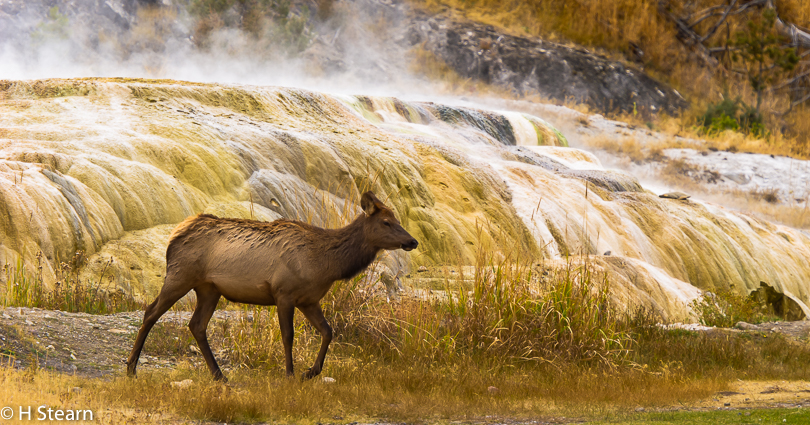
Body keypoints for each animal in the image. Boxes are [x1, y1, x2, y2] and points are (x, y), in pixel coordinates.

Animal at [128, 190, 416, 380]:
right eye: (386, 222)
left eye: (398, 220)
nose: (412, 241)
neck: (326, 264)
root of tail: (174, 235)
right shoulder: (283, 293)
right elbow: (288, 336)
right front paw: (290, 373)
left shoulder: (309, 299)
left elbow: (327, 331)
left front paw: (311, 372)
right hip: (179, 276)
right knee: (151, 312)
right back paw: (131, 367)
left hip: (209, 289)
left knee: (196, 325)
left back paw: (219, 375)